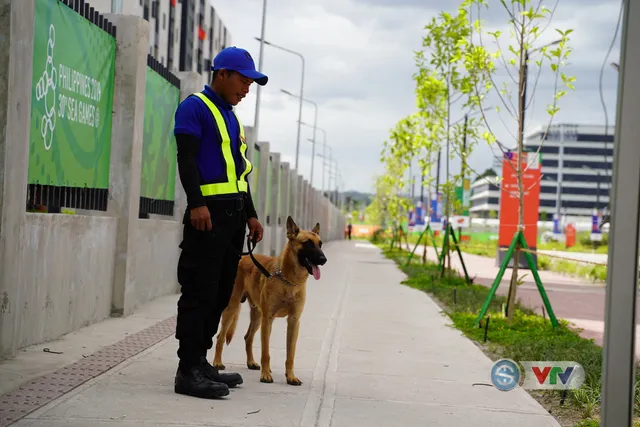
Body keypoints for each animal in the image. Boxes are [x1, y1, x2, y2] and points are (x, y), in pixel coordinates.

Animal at [212, 216, 328, 386]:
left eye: (320, 244)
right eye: (307, 243)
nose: (324, 259)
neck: (288, 280)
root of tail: (242, 257)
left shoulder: (294, 321)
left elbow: (290, 354)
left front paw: (290, 376)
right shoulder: (268, 320)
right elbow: (266, 352)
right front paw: (266, 375)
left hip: (257, 316)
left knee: (248, 337)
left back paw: (251, 362)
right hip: (233, 309)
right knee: (220, 336)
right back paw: (217, 362)